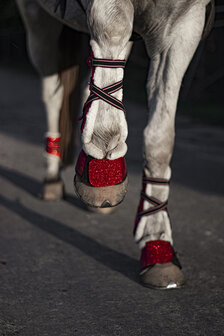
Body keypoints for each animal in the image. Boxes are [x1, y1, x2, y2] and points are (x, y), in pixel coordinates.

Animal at [14, 0, 214, 288]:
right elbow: (113, 31)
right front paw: (103, 170)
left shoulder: (185, 21)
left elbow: (160, 137)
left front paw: (157, 243)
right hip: (37, 19)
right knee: (52, 93)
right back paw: (52, 176)